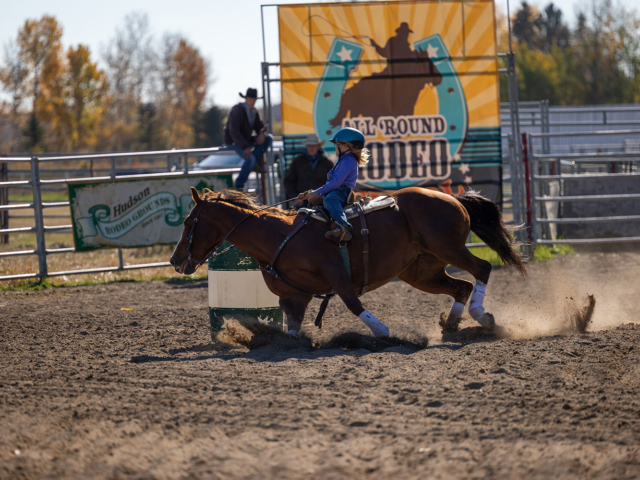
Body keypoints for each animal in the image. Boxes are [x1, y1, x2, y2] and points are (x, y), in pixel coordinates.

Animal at [170, 187, 524, 338]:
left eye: (188, 221)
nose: (175, 260)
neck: (278, 235)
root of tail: (453, 197)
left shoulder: (336, 273)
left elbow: (354, 304)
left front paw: (383, 331)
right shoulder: (293, 297)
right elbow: (293, 330)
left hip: (449, 248)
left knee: (482, 269)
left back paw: (481, 315)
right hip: (422, 271)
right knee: (461, 286)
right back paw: (452, 323)